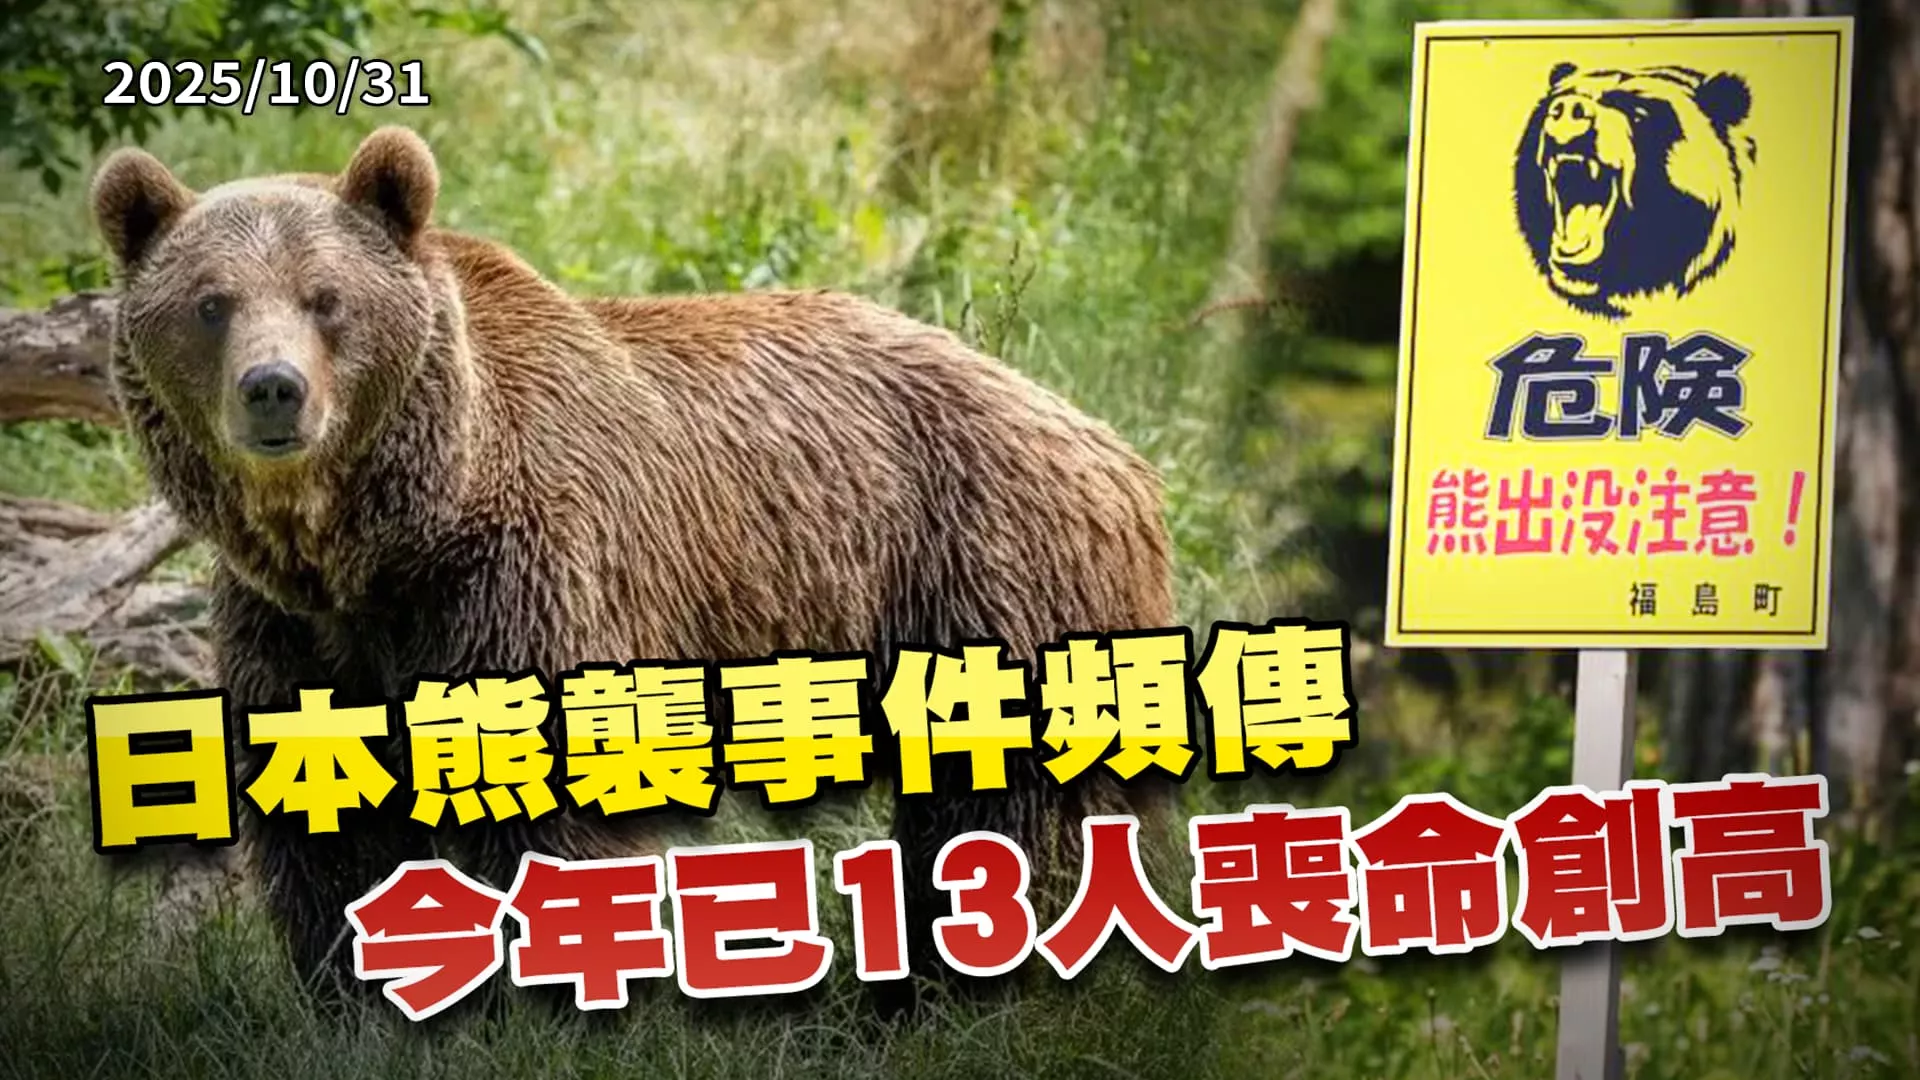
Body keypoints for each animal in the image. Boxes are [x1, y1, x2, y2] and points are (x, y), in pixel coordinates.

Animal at [89, 126, 1177, 998]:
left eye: (327, 300)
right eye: (212, 303)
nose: (274, 390)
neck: (385, 540)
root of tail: (1117, 454)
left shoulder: (529, 573)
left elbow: (547, 808)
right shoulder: (298, 628)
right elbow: (334, 823)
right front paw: (364, 996)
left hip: (990, 574)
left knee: (1013, 811)